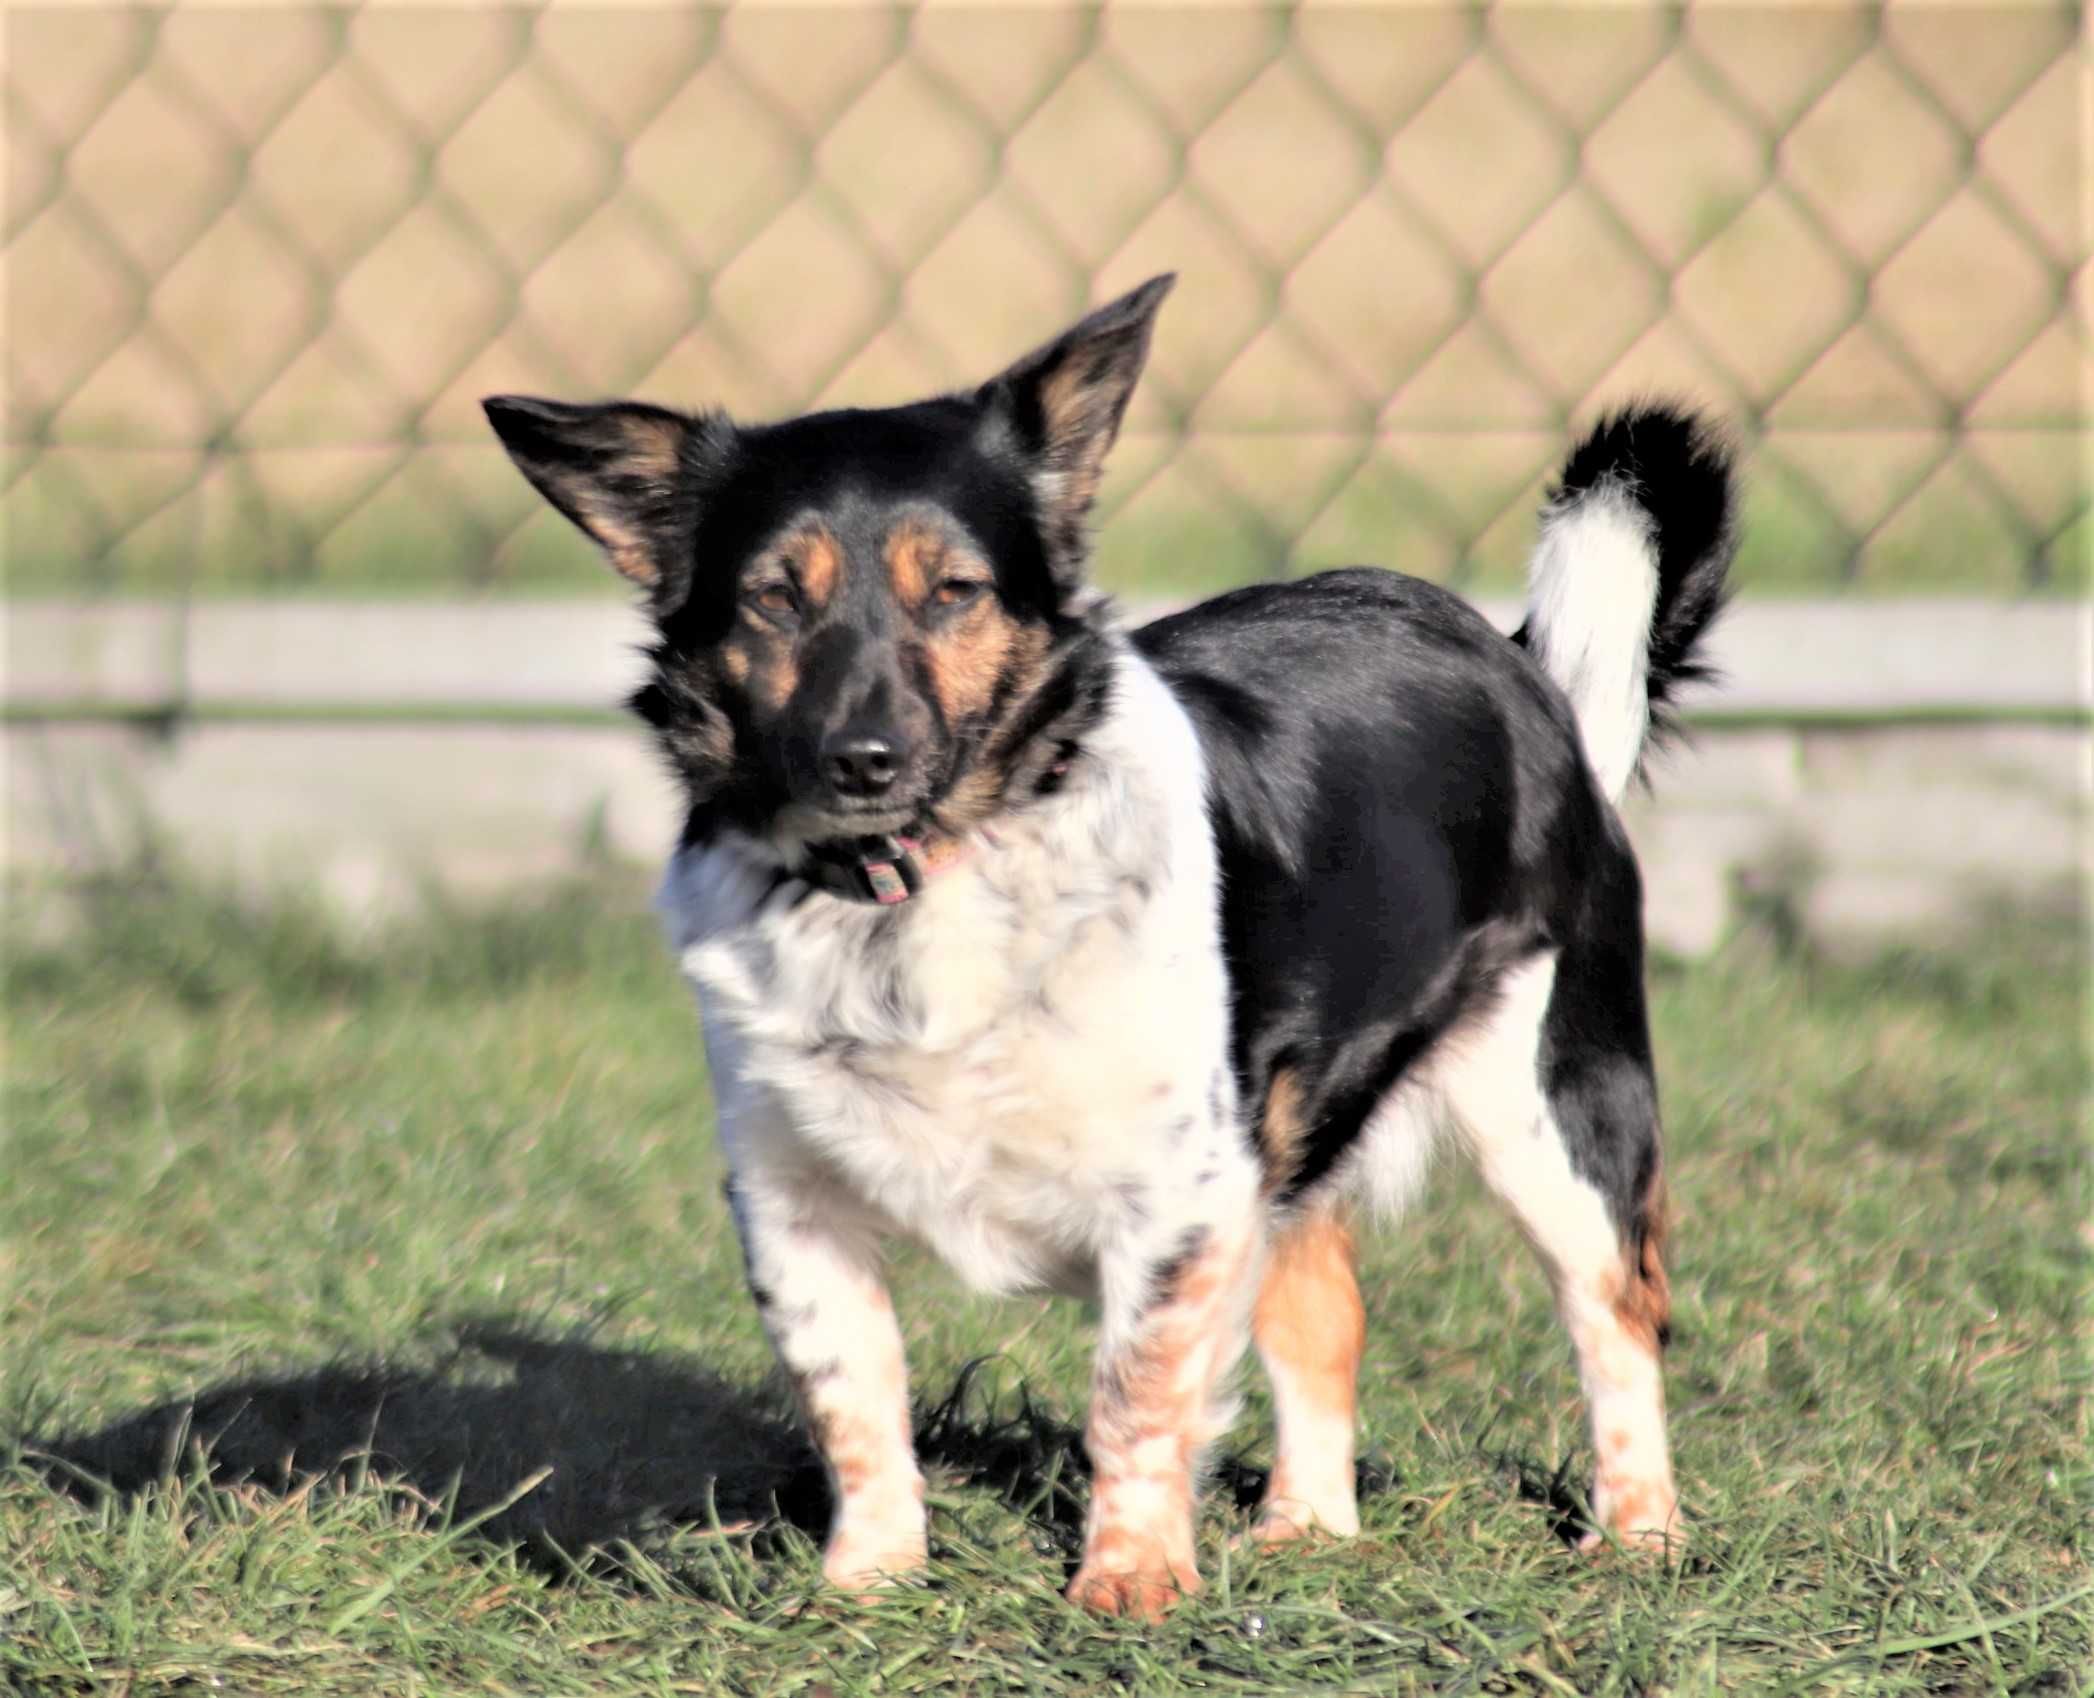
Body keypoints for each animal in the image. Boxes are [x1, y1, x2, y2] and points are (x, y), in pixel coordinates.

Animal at [489, 278, 1733, 1616]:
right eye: (776, 597)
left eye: (954, 592)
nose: (863, 759)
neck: (910, 891)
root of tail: (1519, 665)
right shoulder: (789, 1199)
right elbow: (853, 1403)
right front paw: (869, 1582)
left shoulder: (1180, 1195)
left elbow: (1133, 1393)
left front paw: (1129, 1582)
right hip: (1289, 1136)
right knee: (1325, 1313)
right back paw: (1308, 1528)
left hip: (1554, 1105)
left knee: (1618, 1321)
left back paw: (1639, 1533)